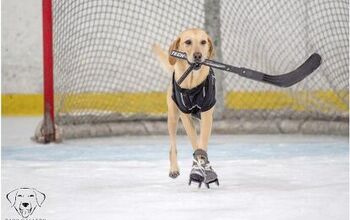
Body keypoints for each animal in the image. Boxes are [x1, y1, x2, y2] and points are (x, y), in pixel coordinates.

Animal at [153, 27, 219, 187]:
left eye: (203, 42)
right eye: (188, 42)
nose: (198, 55)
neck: (191, 82)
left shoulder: (207, 114)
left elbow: (202, 143)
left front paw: (205, 168)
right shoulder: (185, 115)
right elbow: (195, 143)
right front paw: (198, 168)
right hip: (172, 118)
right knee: (172, 146)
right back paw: (174, 169)